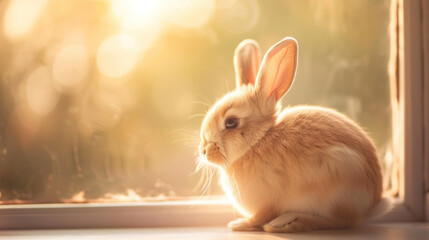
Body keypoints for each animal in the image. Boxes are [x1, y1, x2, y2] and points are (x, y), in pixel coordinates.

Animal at [198, 37, 388, 232]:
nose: (204, 151)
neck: (257, 142)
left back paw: (287, 223)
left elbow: (260, 217)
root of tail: (372, 203)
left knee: (341, 222)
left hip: (338, 185)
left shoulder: (269, 201)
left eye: (231, 122)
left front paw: (239, 224)